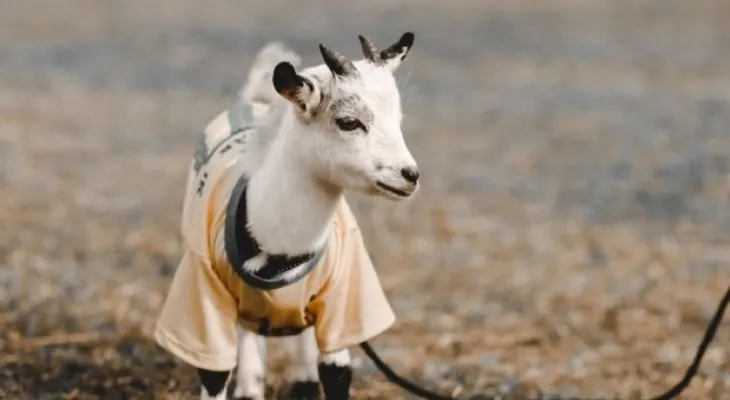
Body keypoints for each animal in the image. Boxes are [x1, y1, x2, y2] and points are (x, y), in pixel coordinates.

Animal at [154, 32, 418, 400]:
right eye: (349, 122)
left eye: (398, 119)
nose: (410, 175)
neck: (277, 243)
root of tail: (256, 99)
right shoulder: (201, 298)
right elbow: (214, 374)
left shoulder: (344, 301)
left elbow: (337, 372)